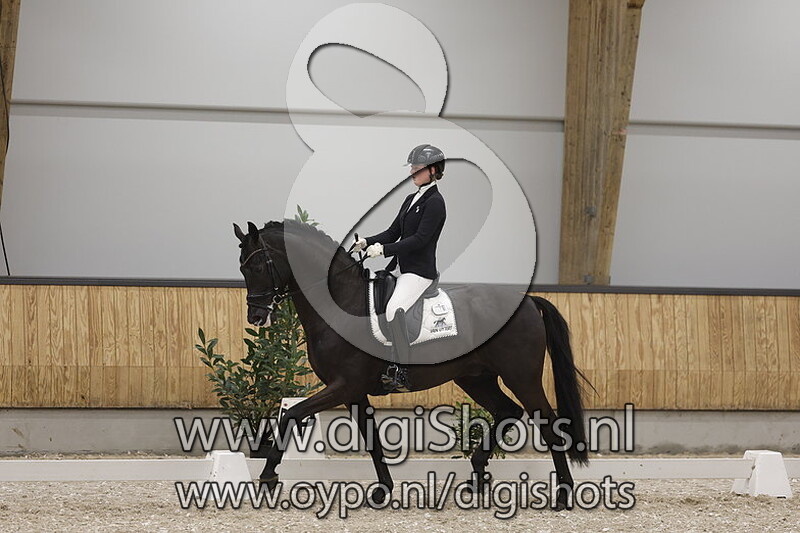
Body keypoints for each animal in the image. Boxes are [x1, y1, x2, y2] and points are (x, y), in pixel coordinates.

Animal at [233, 219, 591, 509]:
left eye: (259, 267)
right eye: (242, 270)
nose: (256, 317)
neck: (341, 305)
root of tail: (528, 301)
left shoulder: (343, 386)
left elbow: (290, 415)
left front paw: (268, 478)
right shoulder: (354, 392)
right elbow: (372, 441)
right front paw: (382, 491)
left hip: (521, 376)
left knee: (548, 424)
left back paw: (562, 495)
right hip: (476, 378)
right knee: (508, 411)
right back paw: (477, 477)